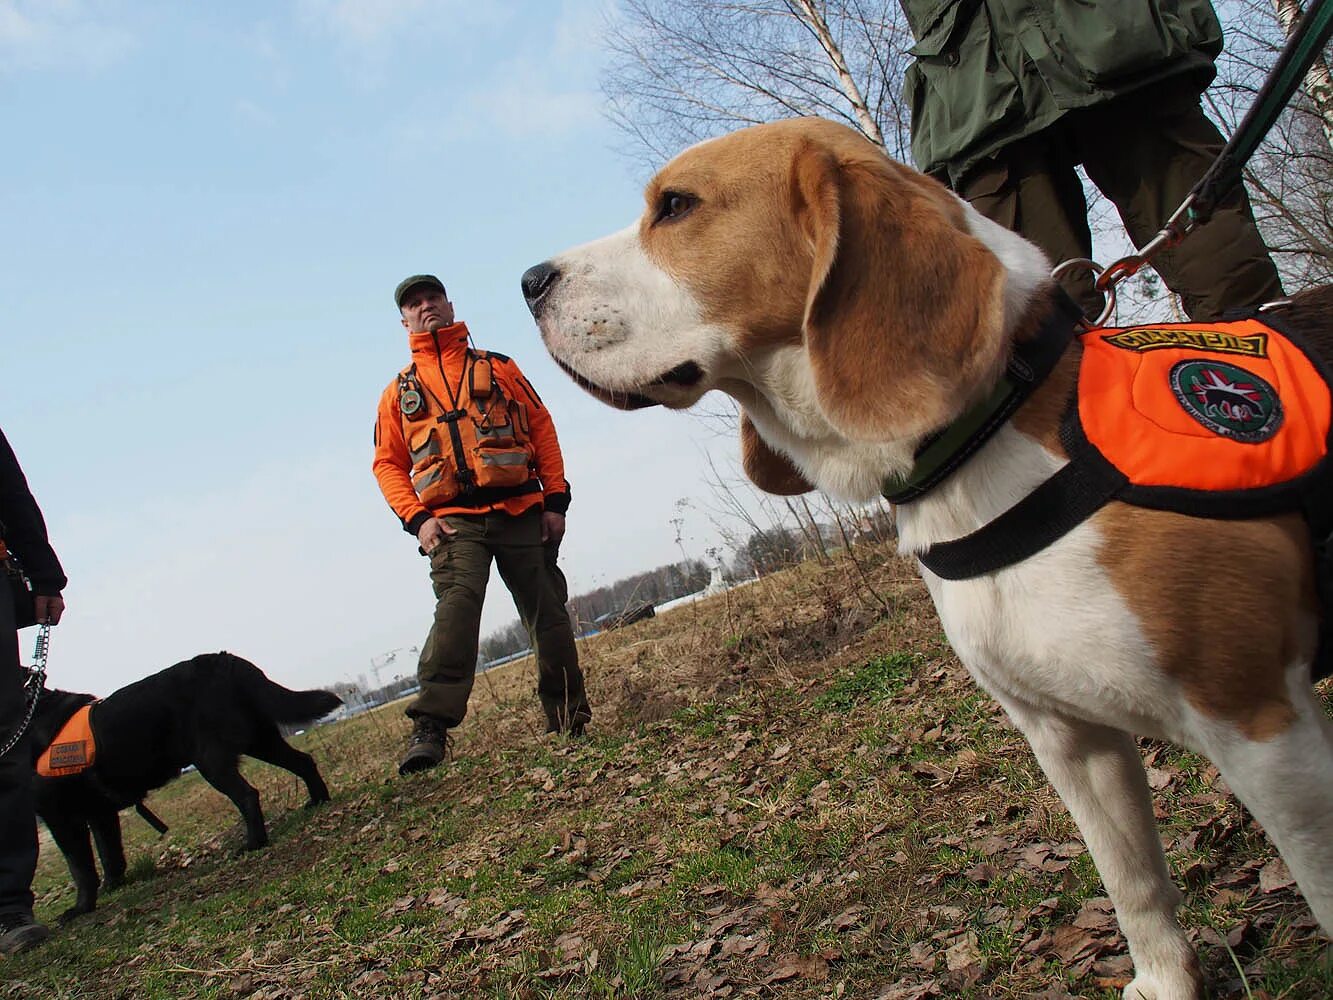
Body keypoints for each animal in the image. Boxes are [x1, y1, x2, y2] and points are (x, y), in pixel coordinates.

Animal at [29, 650, 341, 922]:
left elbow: (79, 867)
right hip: (260, 740)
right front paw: (111, 886)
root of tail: (221, 659)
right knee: (304, 762)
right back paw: (318, 800)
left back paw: (253, 842)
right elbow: (109, 853)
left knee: (248, 795)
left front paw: (80, 908)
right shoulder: (99, 811)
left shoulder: (60, 817)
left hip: (211, 757)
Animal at [522, 119, 1333, 1000]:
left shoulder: (1261, 727)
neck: (992, 429)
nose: (527, 281)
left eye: (674, 206)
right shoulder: (1067, 737)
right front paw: (1163, 982)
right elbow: (1132, 884)